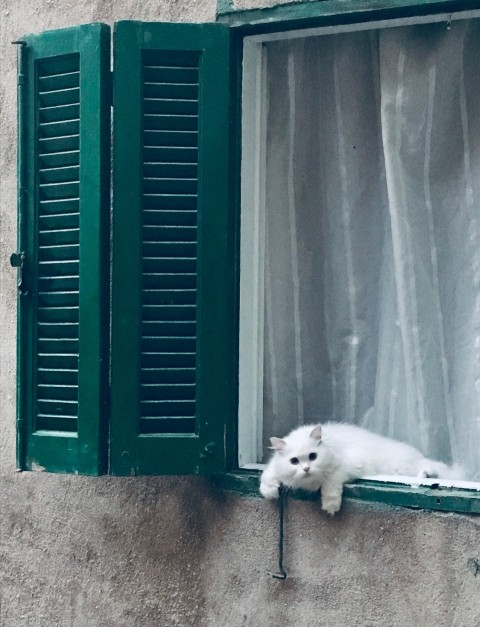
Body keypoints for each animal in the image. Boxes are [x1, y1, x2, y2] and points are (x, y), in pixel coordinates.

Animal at [258, 422, 464, 516]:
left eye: (313, 456)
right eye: (294, 461)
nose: (307, 469)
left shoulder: (347, 466)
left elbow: (331, 484)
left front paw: (331, 505)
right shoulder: (274, 466)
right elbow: (267, 475)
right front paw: (270, 492)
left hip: (402, 467)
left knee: (430, 468)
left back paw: (427, 475)